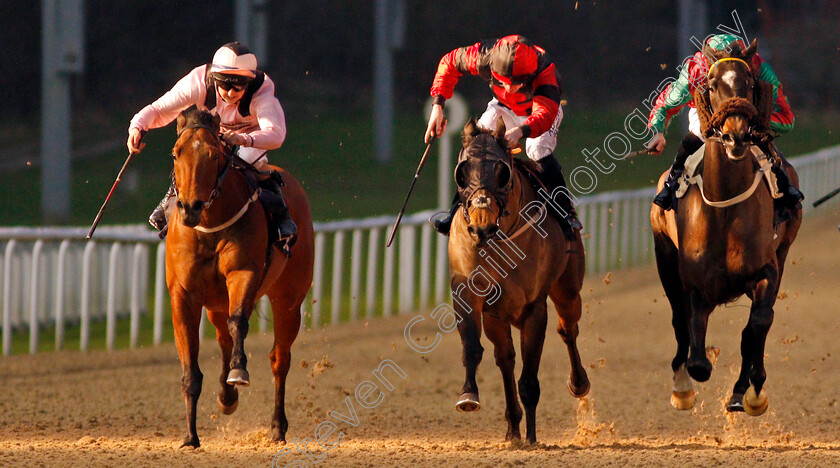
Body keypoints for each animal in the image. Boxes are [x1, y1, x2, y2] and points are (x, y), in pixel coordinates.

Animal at [166, 107, 314, 446]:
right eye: (176, 153)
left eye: (214, 154)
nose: (190, 207)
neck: (208, 226)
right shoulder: (182, 294)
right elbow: (190, 368)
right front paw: (190, 436)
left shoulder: (243, 273)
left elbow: (239, 323)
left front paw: (239, 372)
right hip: (215, 303)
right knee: (223, 338)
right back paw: (226, 397)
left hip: (288, 298)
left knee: (279, 359)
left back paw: (277, 427)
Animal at [446, 119, 592, 444]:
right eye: (462, 171)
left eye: (502, 172)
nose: (481, 228)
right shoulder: (471, 296)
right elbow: (474, 347)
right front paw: (468, 395)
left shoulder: (534, 307)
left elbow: (529, 376)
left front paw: (533, 437)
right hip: (498, 317)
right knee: (506, 359)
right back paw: (512, 424)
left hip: (568, 290)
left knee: (569, 330)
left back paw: (578, 383)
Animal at [648, 38, 800, 414]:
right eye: (713, 84)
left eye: (749, 83)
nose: (736, 137)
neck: (726, 209)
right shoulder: (693, 282)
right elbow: (696, 352)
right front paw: (687, 382)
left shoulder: (766, 269)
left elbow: (758, 323)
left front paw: (752, 390)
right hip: (664, 257)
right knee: (678, 321)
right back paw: (682, 386)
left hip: (784, 250)